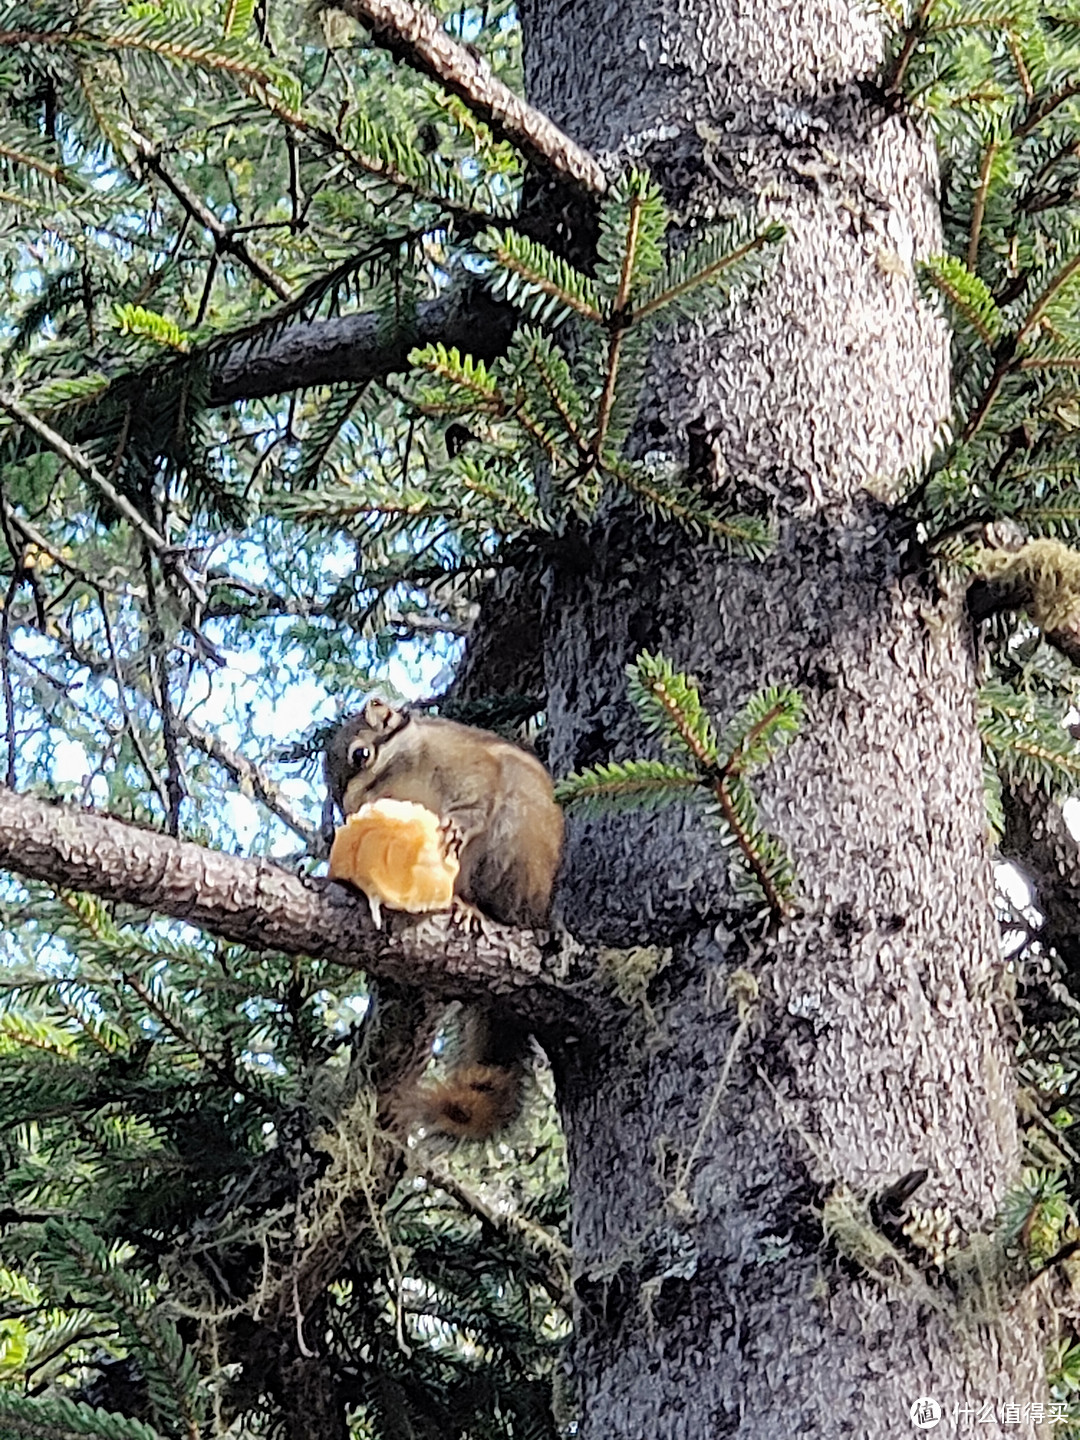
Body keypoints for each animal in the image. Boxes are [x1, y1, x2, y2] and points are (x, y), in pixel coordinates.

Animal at [325, 702, 567, 1140]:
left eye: (360, 755)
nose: (349, 810)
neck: (404, 775)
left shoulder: (461, 762)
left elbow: (475, 795)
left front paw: (457, 825)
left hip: (516, 845)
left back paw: (481, 912)